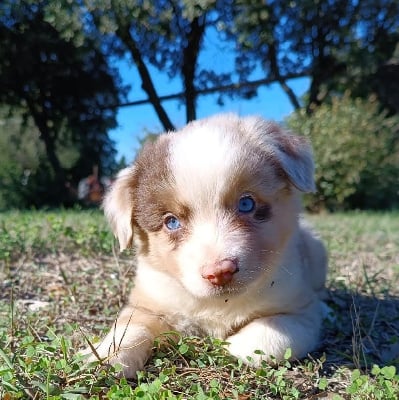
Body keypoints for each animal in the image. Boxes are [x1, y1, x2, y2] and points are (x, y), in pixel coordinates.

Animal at [86, 113, 326, 378]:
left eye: (246, 204)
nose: (220, 272)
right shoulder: (148, 301)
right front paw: (105, 356)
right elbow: (130, 328)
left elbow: (272, 333)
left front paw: (232, 344)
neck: (218, 304)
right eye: (171, 221)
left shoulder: (301, 310)